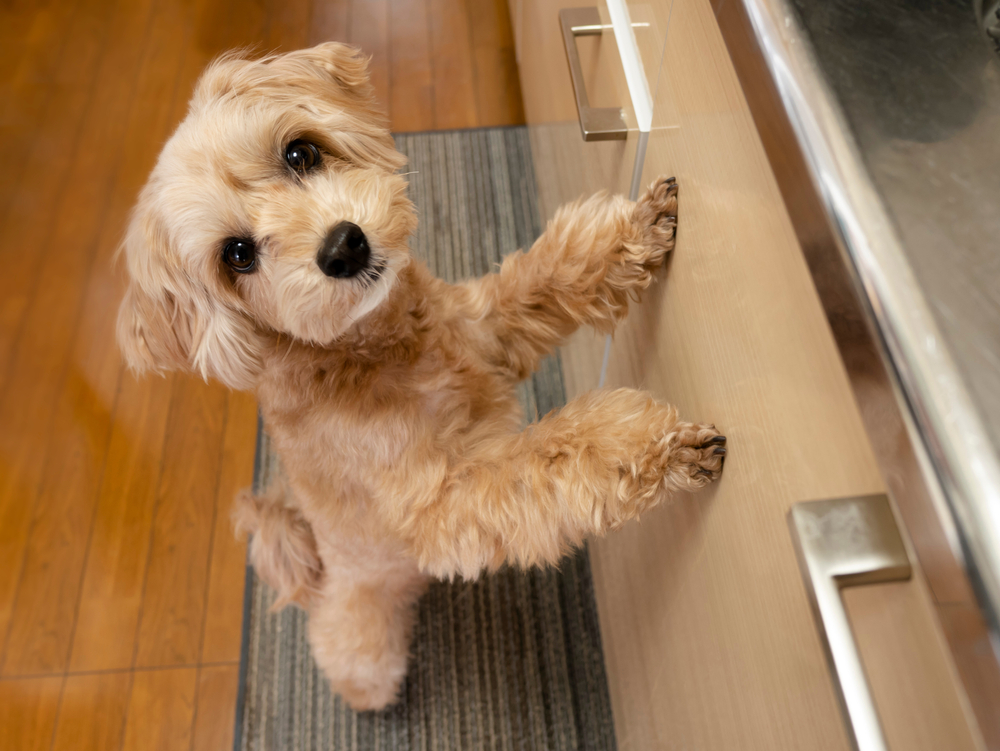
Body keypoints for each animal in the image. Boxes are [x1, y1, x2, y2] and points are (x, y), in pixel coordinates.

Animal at [117, 41, 728, 712]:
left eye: (300, 153)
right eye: (237, 255)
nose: (344, 247)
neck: (379, 351)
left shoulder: (486, 331)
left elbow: (545, 274)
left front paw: (637, 228)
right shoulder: (442, 498)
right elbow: (552, 455)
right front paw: (654, 446)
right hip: (362, 635)